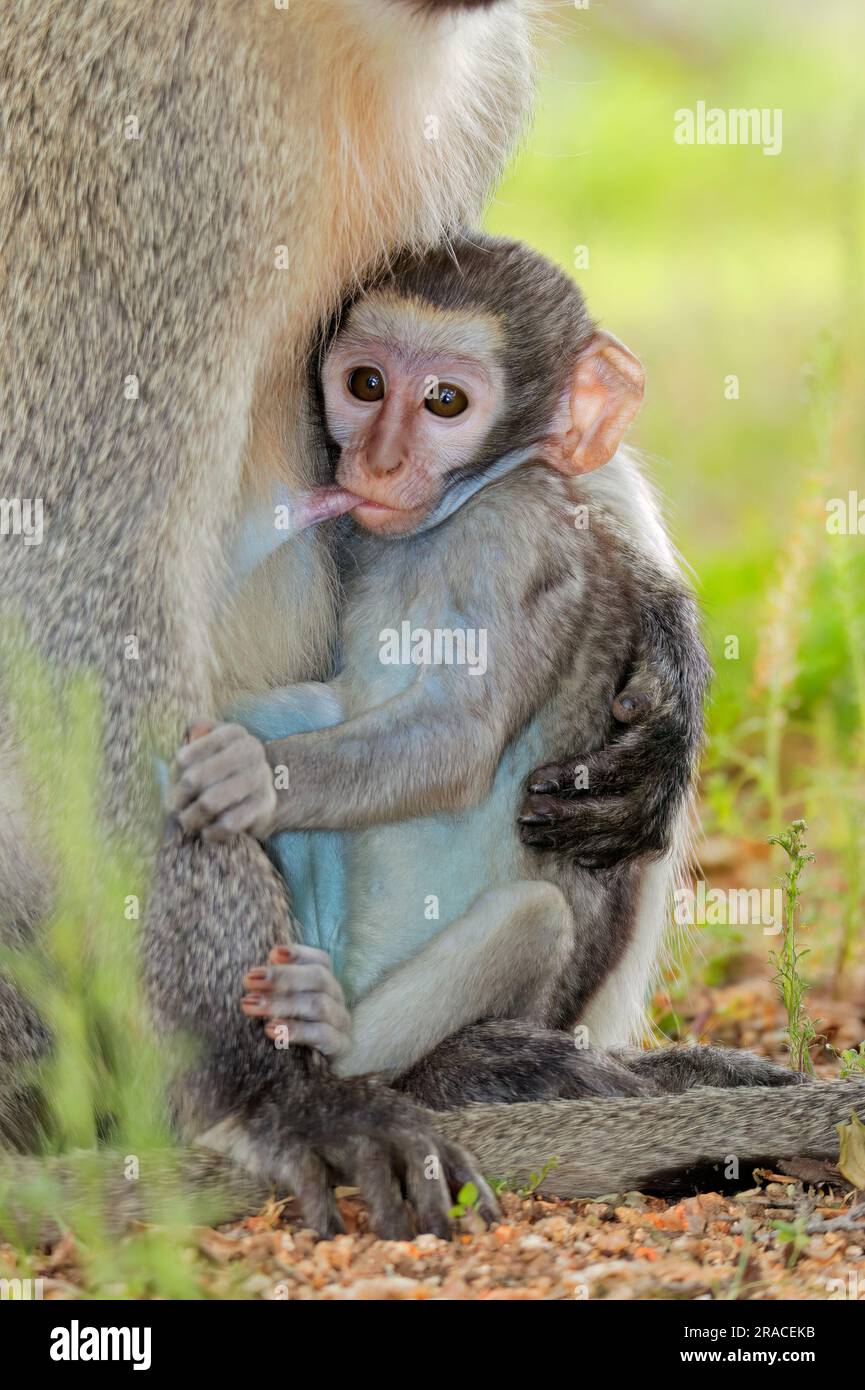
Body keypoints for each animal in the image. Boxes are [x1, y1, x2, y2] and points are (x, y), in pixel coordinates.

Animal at [173, 239, 795, 1106]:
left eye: (445, 402)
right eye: (365, 385)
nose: (377, 460)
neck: (453, 516)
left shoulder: (514, 541)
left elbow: (460, 741)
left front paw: (255, 779)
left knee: (532, 916)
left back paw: (337, 1036)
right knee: (299, 713)